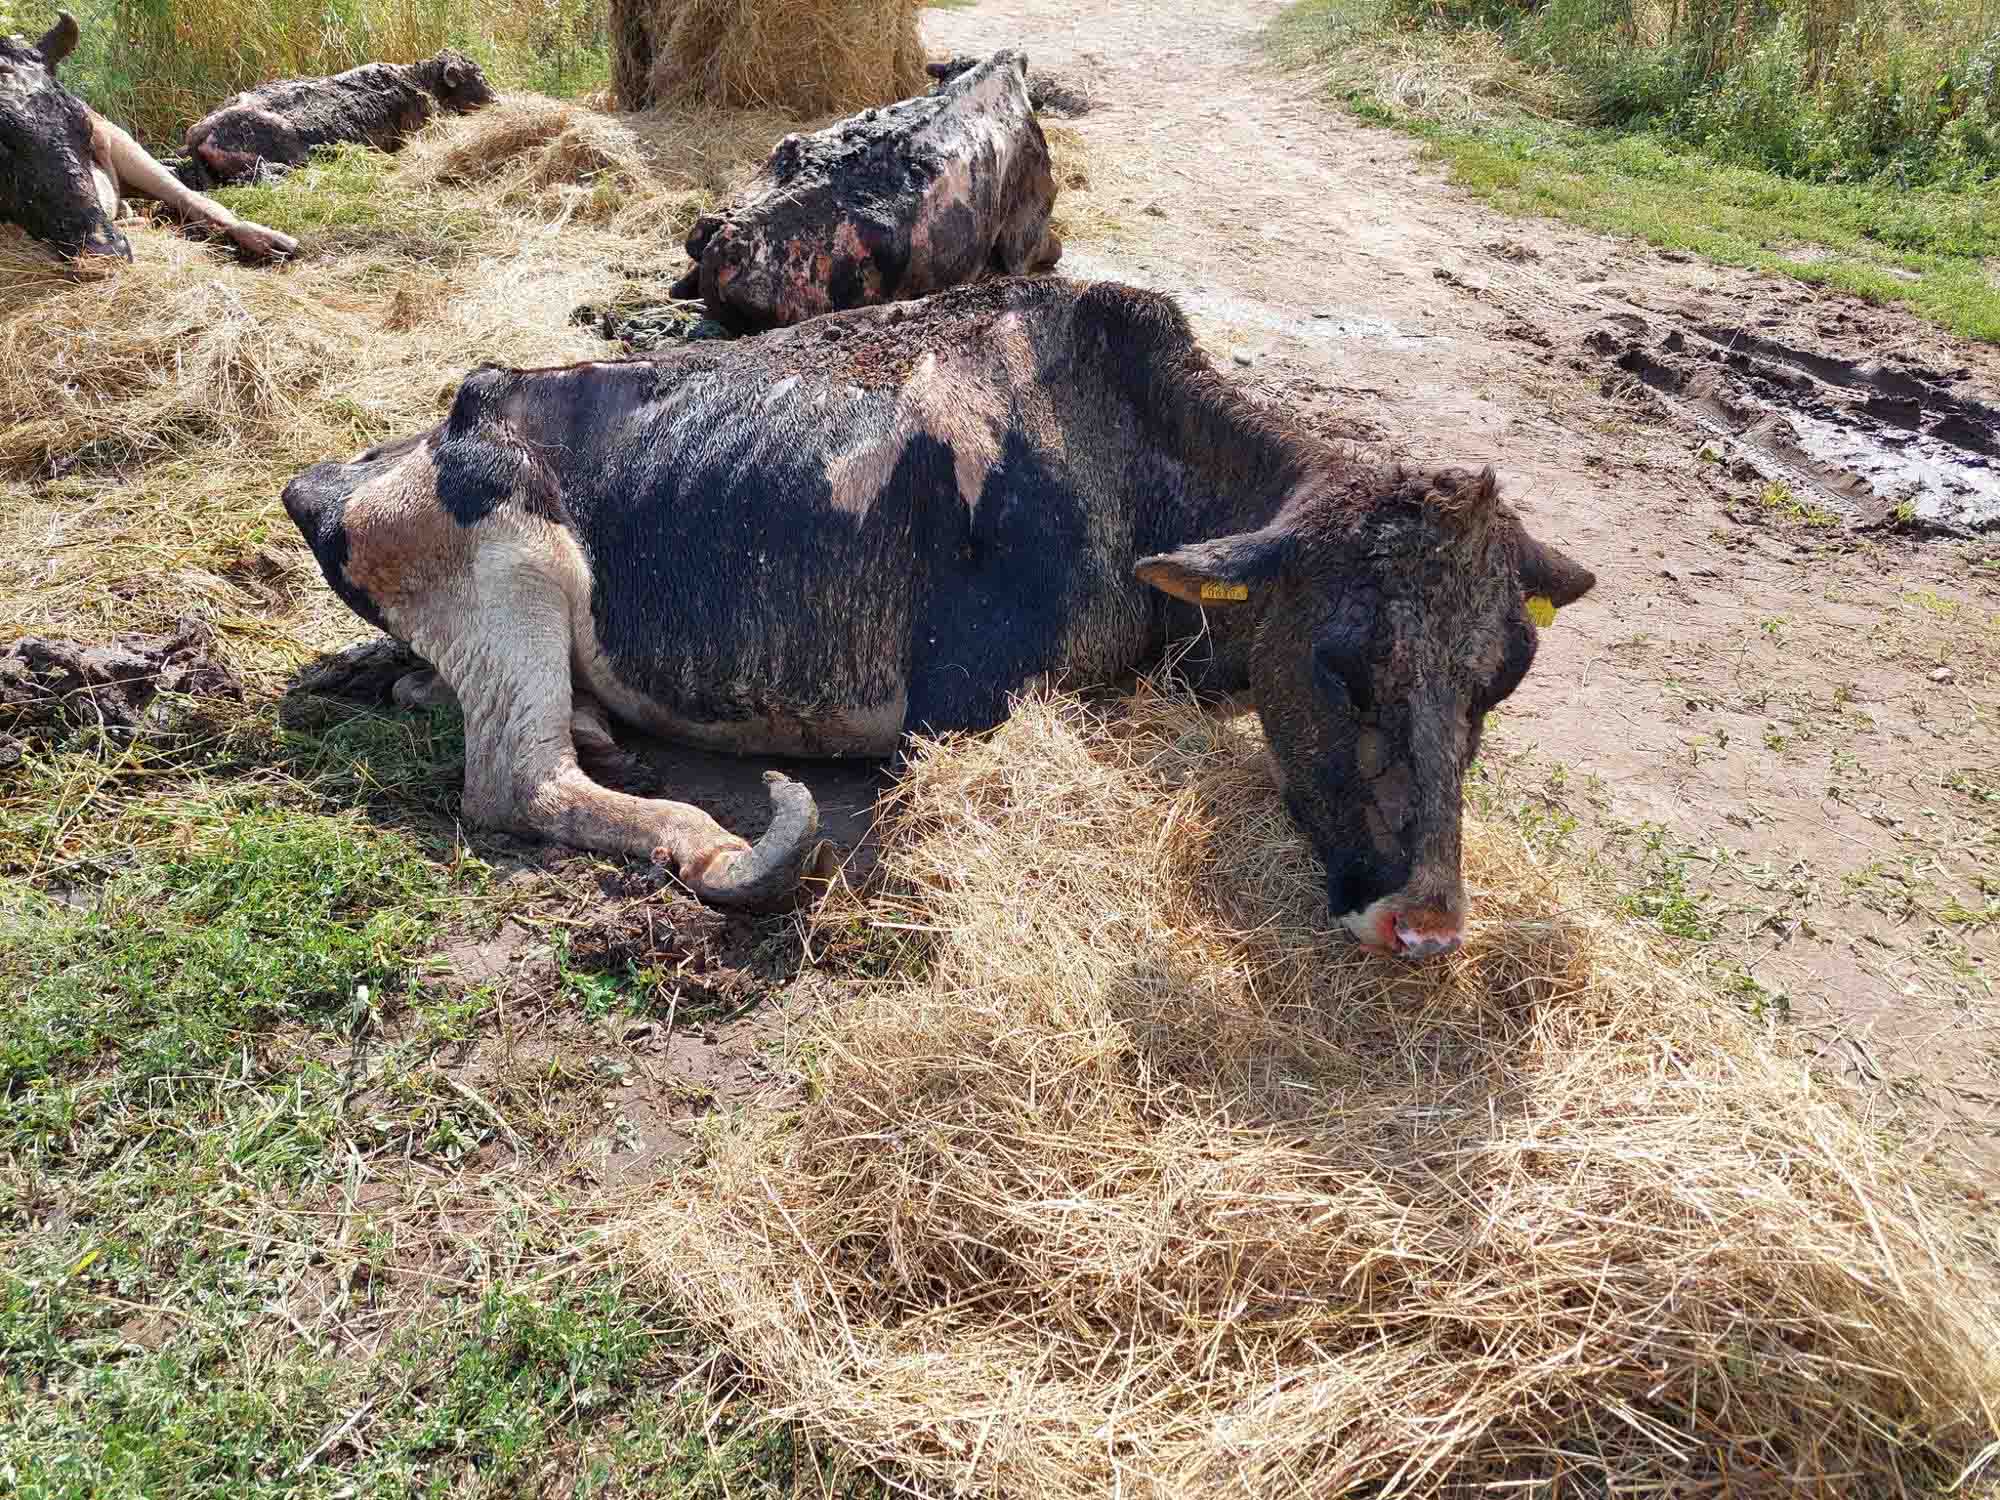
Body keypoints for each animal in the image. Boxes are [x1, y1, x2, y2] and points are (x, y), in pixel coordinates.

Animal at [0, 13, 297, 263]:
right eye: (4, 141)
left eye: (85, 126)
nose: (108, 250)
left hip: (127, 148)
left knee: (190, 196)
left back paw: (267, 239)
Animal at [282, 276, 1596, 958]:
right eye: (1338, 666)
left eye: (1497, 682)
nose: (1425, 923)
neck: (1123, 445)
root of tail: (348, 471)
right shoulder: (958, 708)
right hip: (514, 556)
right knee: (518, 779)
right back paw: (715, 843)